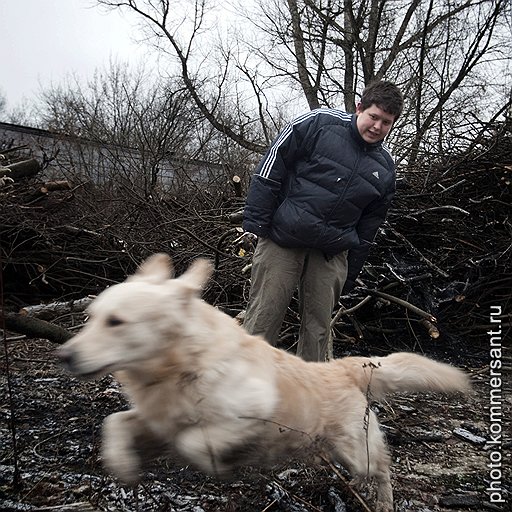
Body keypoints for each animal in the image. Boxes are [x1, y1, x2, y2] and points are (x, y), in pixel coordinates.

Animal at [57, 253, 472, 512]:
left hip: (359, 450)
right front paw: (123, 464)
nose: (64, 355)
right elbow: (115, 422)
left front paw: (218, 464)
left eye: (116, 322)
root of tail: (342, 367)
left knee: (382, 470)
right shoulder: (156, 417)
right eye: (91, 316)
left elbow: (193, 440)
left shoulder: (252, 412)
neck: (183, 362)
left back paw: (383, 502)